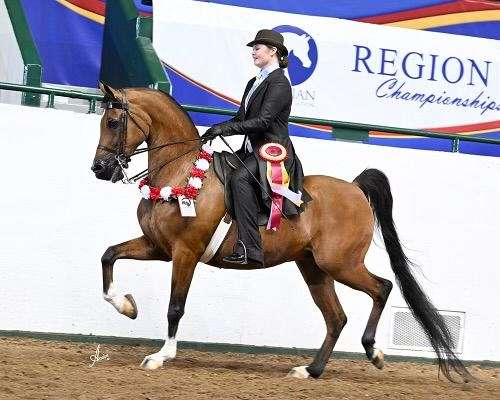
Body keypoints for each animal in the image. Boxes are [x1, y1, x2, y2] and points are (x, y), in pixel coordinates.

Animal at [92, 83, 470, 382]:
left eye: (113, 122)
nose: (99, 169)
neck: (181, 171)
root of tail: (354, 187)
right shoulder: (157, 247)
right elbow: (108, 255)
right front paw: (126, 306)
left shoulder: (186, 252)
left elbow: (175, 307)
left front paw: (161, 357)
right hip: (314, 268)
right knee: (336, 317)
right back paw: (311, 370)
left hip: (340, 263)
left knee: (382, 288)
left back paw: (373, 352)